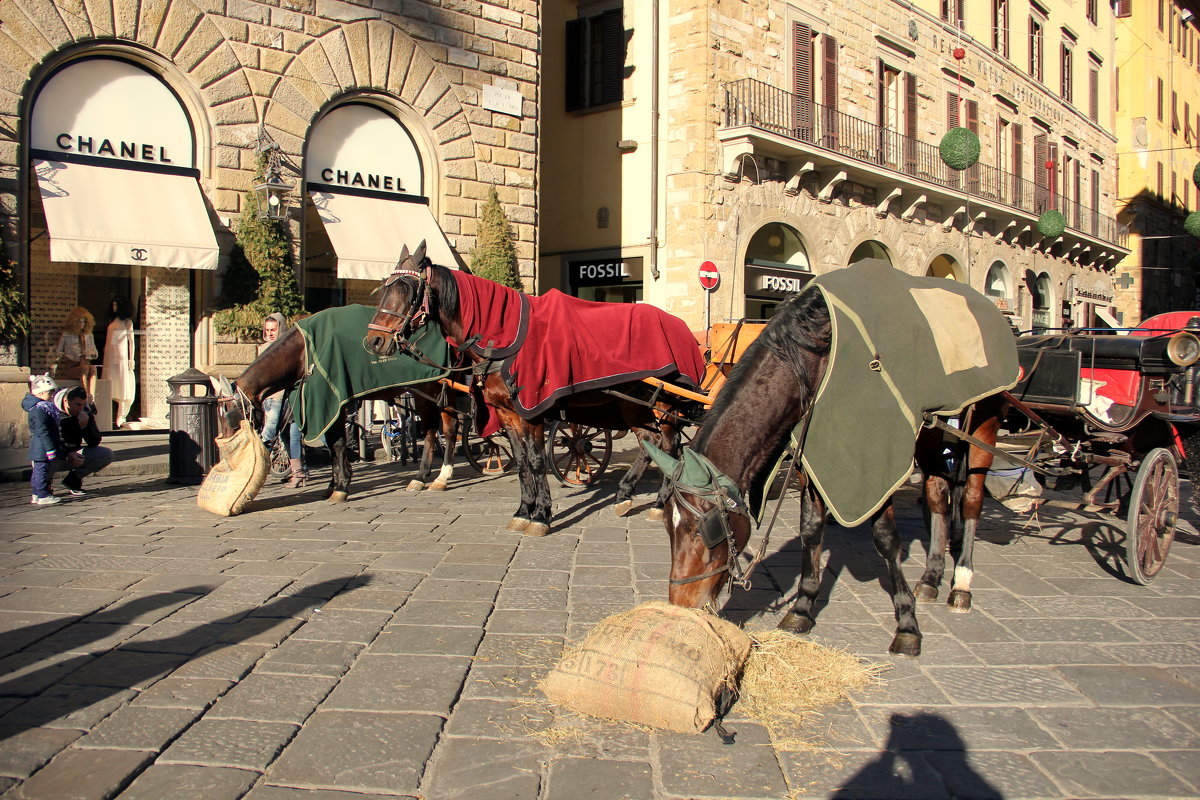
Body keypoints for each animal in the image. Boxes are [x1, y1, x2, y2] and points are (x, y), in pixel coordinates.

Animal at [364, 241, 700, 534]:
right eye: (384, 287)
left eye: (407, 289)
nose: (374, 341)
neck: (502, 339)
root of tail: (681, 326)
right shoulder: (506, 414)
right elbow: (522, 462)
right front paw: (523, 510)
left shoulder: (534, 412)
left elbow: (538, 461)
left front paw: (541, 515)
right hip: (633, 405)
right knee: (650, 444)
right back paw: (627, 495)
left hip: (665, 405)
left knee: (670, 446)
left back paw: (659, 502)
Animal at [652, 287, 1008, 657]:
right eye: (667, 528)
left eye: (703, 531)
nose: (680, 603)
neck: (813, 357)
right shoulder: (811, 454)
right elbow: (810, 529)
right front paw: (803, 606)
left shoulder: (876, 459)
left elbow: (885, 538)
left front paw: (907, 624)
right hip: (931, 435)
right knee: (938, 493)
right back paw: (932, 576)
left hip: (984, 425)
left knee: (971, 498)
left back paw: (962, 581)